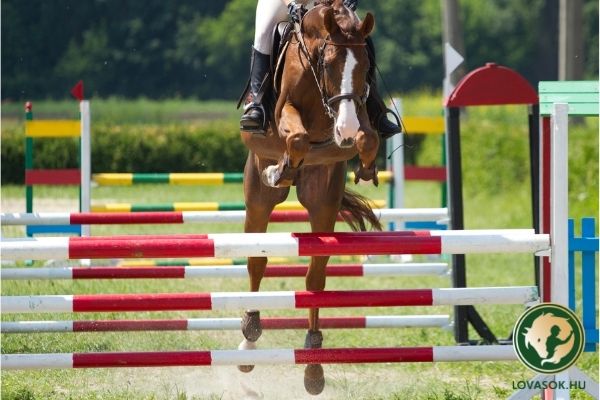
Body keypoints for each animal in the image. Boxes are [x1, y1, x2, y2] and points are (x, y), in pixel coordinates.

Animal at [238, 0, 380, 394]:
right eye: (328, 63)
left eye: (366, 67)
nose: (344, 130)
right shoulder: (285, 111)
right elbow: (298, 137)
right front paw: (282, 167)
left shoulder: (360, 111)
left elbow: (370, 138)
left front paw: (366, 166)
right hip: (258, 198)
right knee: (256, 262)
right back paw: (249, 340)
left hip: (323, 201)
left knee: (315, 278)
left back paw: (314, 365)